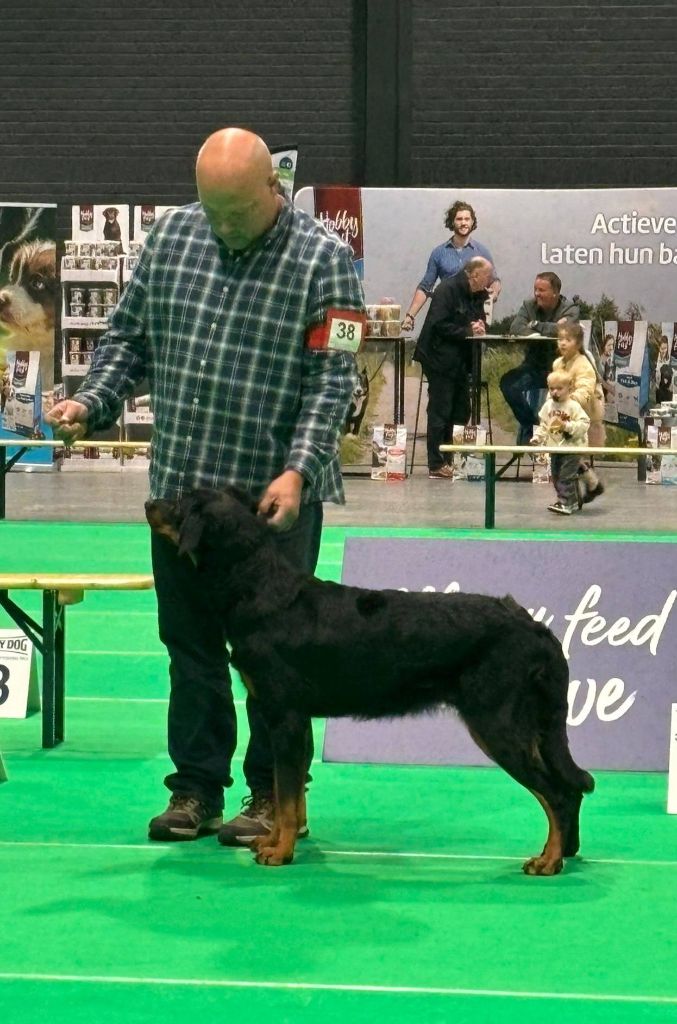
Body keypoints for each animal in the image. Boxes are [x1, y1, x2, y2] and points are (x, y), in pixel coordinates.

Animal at [146, 487, 589, 872]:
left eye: (181, 502)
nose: (150, 502)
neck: (256, 586)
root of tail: (535, 627)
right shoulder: (293, 720)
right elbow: (290, 789)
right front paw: (274, 841)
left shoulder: (284, 715)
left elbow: (286, 793)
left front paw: (281, 851)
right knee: (570, 789)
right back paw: (564, 851)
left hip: (497, 723)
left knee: (558, 793)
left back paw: (549, 860)